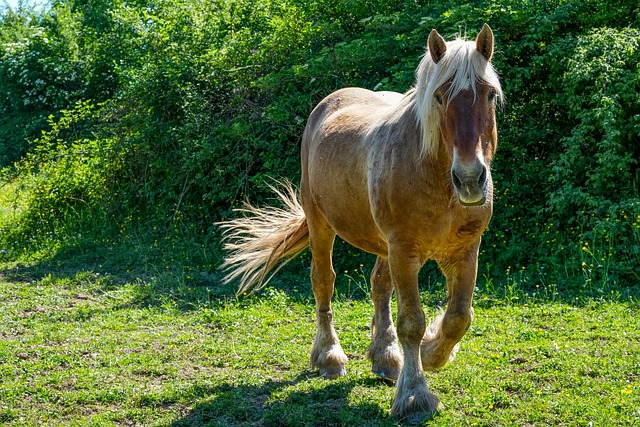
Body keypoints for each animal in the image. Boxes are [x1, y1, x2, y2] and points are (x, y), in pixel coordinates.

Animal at [219, 24, 503, 418]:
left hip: (382, 244)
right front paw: (415, 394)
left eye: (489, 95)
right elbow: (412, 322)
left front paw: (431, 353)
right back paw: (329, 356)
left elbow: (459, 317)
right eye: (439, 97)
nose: (470, 178)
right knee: (323, 283)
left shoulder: (465, 250)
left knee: (379, 287)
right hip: (321, 225)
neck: (435, 178)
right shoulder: (404, 251)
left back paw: (386, 357)